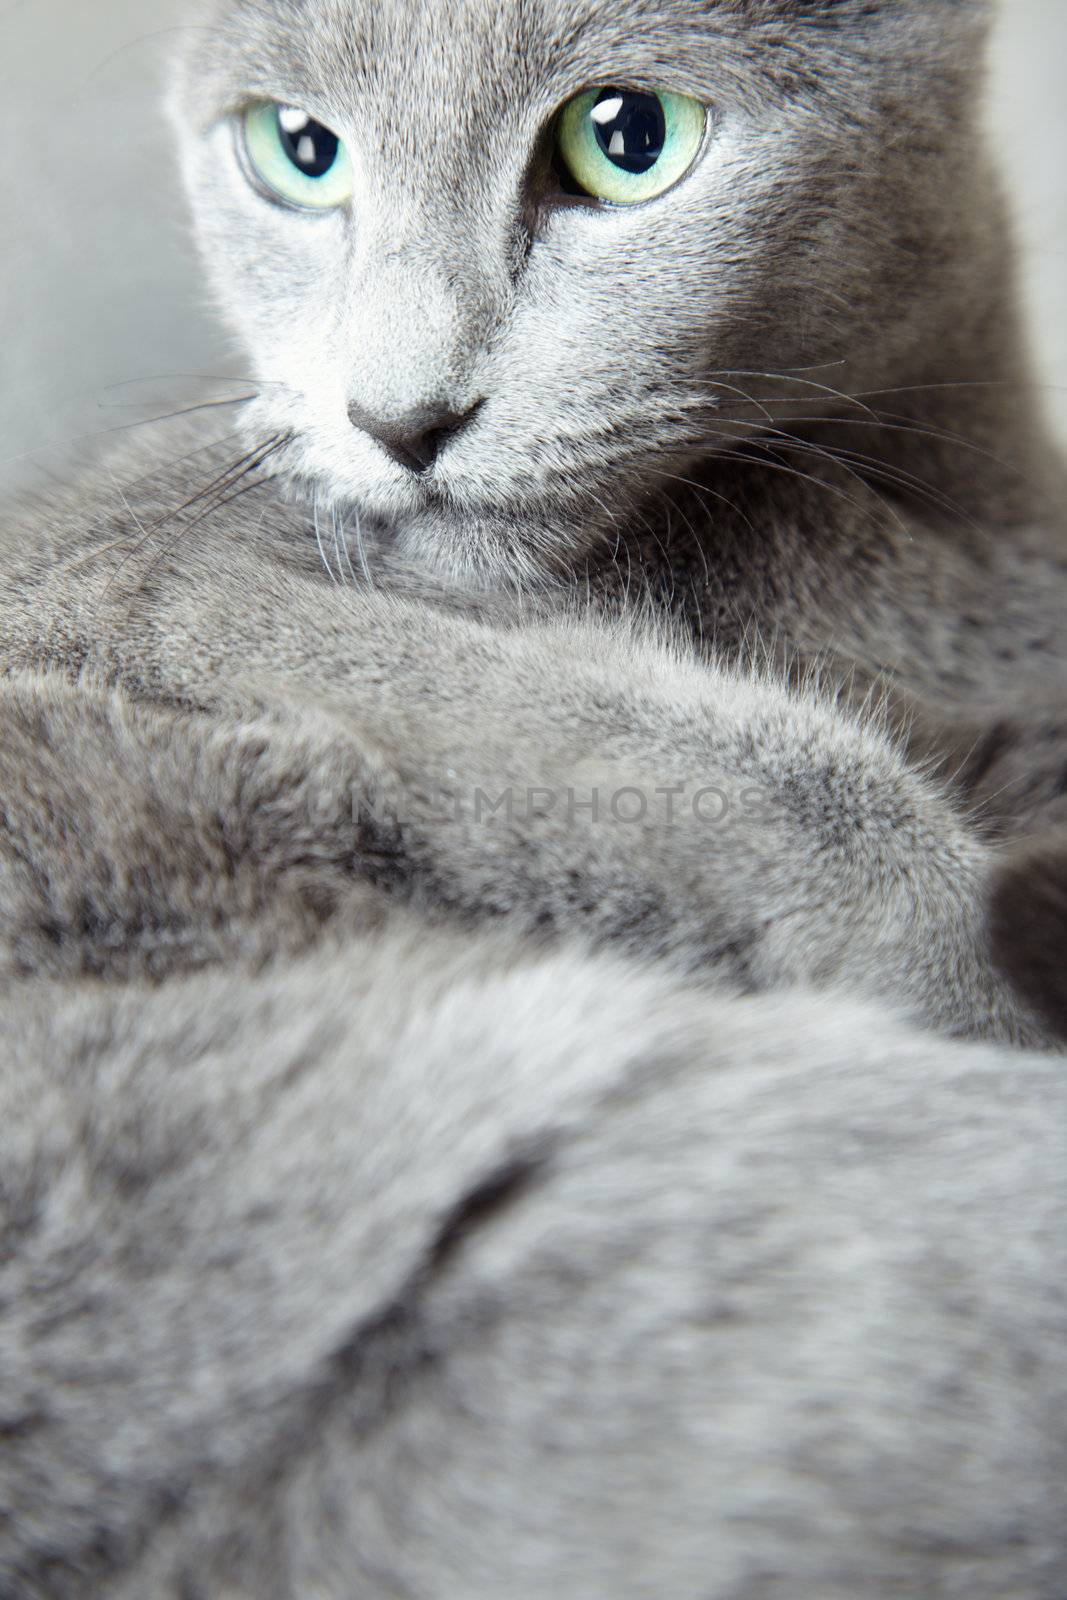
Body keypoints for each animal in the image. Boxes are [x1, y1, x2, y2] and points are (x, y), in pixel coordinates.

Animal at [2, 0, 1067, 1593]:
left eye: (627, 141)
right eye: (298, 152)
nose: (399, 416)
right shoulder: (128, 585)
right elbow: (677, 748)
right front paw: (958, 957)